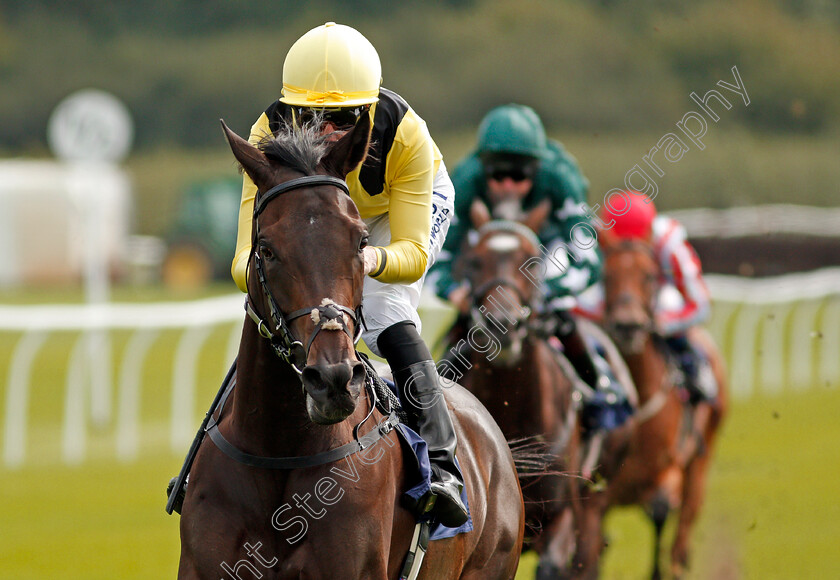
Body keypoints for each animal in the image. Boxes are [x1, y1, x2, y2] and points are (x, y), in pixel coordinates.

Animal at [596, 232, 728, 580]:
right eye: (605, 276)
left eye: (649, 276)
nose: (628, 325)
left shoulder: (668, 470)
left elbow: (660, 508)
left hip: (701, 456)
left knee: (686, 517)